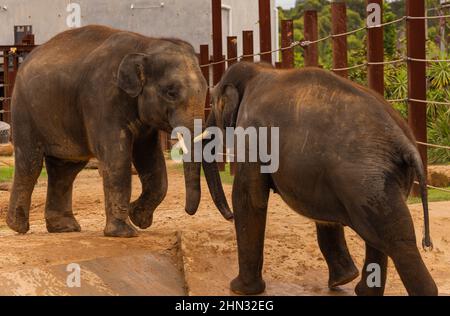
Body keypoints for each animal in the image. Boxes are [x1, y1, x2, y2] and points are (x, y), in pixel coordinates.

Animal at [6, 25, 232, 237]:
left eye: (205, 90)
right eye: (171, 92)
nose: (231, 217)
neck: (145, 45)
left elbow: (151, 160)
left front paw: (138, 218)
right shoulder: (102, 99)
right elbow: (117, 158)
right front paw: (124, 232)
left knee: (66, 169)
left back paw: (64, 228)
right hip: (23, 111)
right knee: (30, 163)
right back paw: (18, 226)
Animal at [211, 61, 440, 296]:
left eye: (213, 104)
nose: (228, 216)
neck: (259, 70)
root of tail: (404, 141)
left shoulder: (252, 132)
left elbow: (250, 198)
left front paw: (239, 289)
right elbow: (322, 213)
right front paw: (342, 280)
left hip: (365, 182)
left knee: (396, 240)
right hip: (378, 180)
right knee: (379, 237)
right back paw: (363, 291)